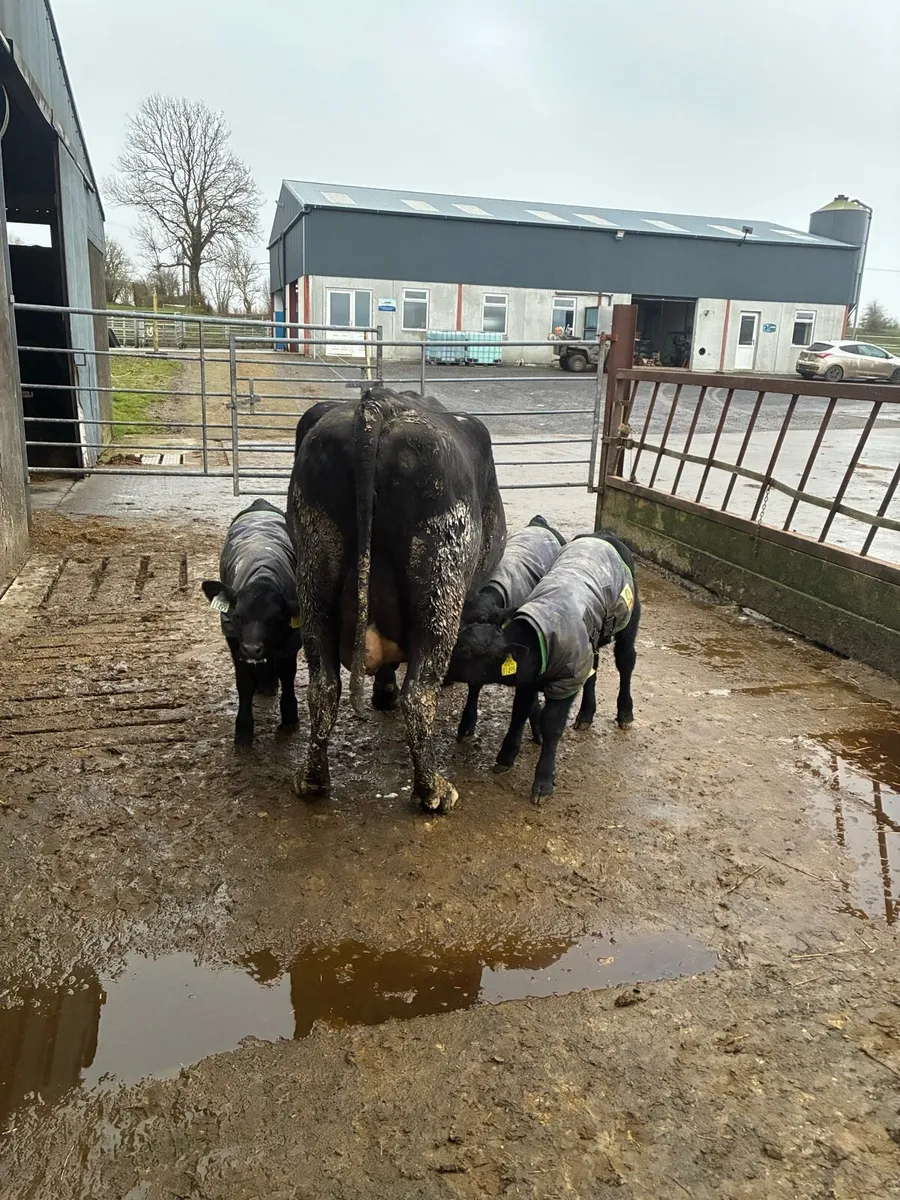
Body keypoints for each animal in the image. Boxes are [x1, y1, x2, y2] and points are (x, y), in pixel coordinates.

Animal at [201, 499, 302, 747]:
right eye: (238, 616)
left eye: (277, 619)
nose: (252, 649)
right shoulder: (234, 639)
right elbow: (244, 683)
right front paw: (244, 730)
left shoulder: (292, 640)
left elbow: (288, 675)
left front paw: (290, 717)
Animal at [287, 386, 506, 813]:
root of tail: (380, 403)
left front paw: (383, 691)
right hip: (441, 580)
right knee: (419, 695)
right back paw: (433, 790)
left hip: (315, 571)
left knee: (323, 686)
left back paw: (313, 778)